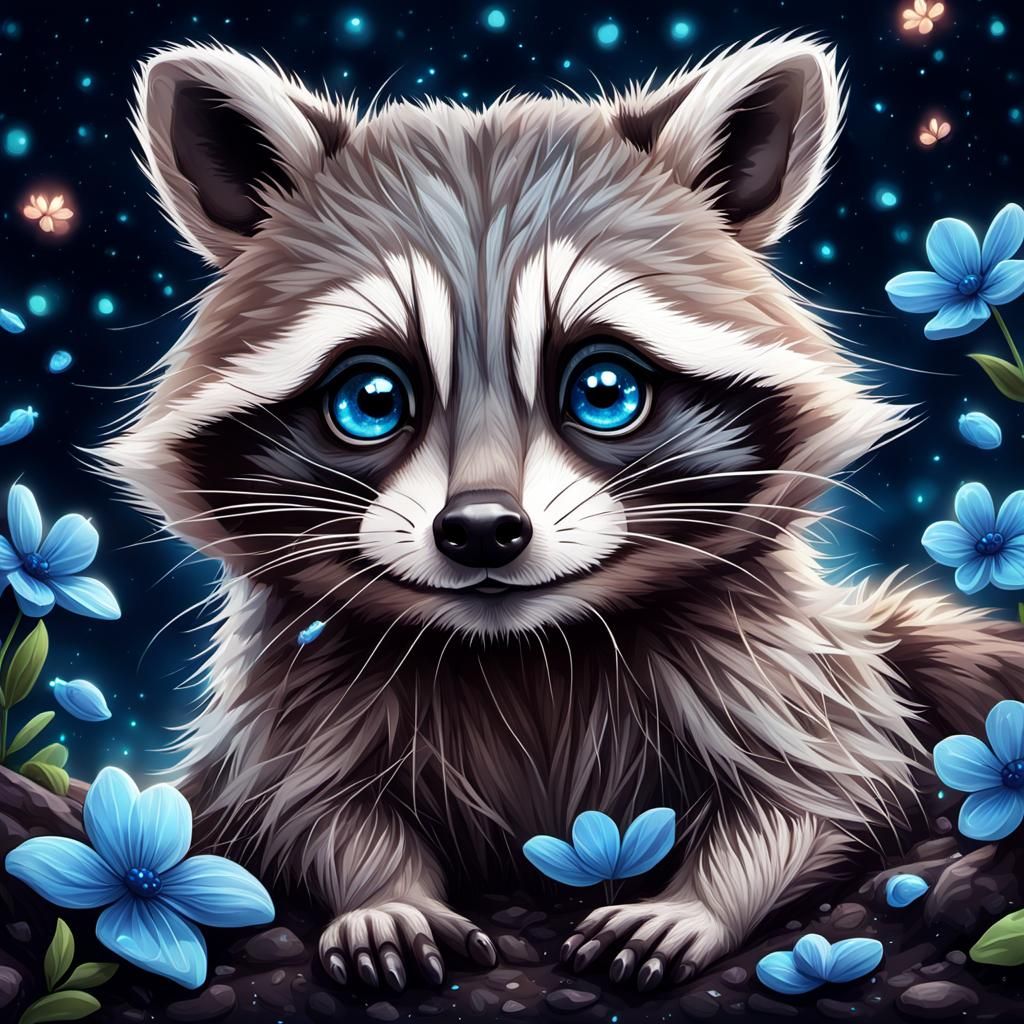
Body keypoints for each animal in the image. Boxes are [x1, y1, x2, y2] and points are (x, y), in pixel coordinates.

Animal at [101, 36, 1024, 993]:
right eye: (371, 400)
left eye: (604, 389)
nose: (480, 529)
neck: (519, 650)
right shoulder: (293, 690)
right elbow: (293, 805)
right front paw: (381, 888)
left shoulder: (769, 658)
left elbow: (828, 787)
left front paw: (702, 898)